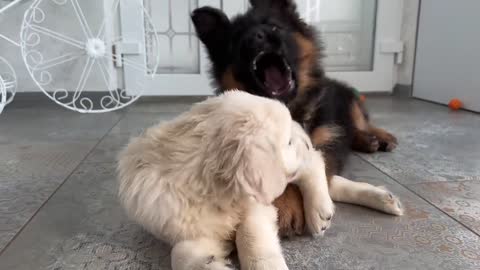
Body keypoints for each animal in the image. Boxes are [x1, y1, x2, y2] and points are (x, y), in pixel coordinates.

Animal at [117, 91, 334, 270]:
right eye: (287, 142)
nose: (306, 142)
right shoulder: (181, 225)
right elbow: (180, 253)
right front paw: (209, 263)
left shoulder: (256, 202)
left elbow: (250, 232)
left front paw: (263, 263)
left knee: (315, 161)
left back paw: (319, 210)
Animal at [191, 0, 402, 236]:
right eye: (235, 42)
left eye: (274, 26)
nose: (255, 36)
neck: (290, 108)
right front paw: (288, 205)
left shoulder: (327, 139)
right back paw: (367, 141)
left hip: (346, 97)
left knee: (359, 121)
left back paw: (378, 136)